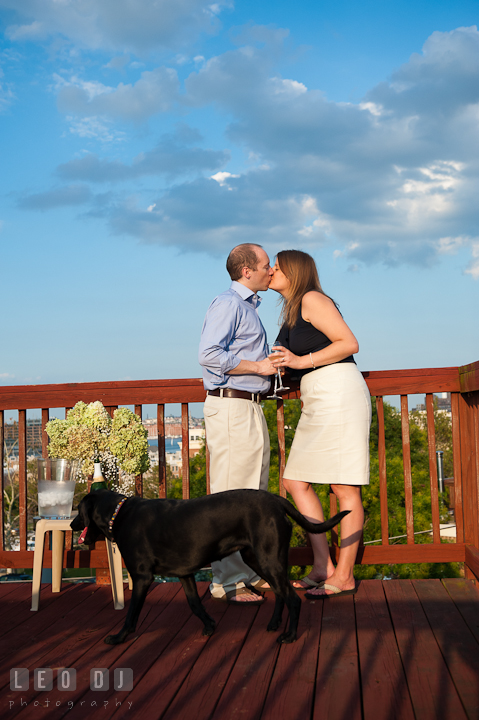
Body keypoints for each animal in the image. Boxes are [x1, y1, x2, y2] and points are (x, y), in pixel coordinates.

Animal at [72, 490, 348, 648]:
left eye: (80, 510)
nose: (73, 524)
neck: (120, 514)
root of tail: (277, 500)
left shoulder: (141, 577)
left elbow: (131, 615)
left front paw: (118, 638)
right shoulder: (185, 574)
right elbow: (195, 603)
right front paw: (209, 625)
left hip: (268, 559)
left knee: (293, 598)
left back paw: (289, 635)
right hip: (258, 559)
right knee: (281, 593)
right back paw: (274, 623)